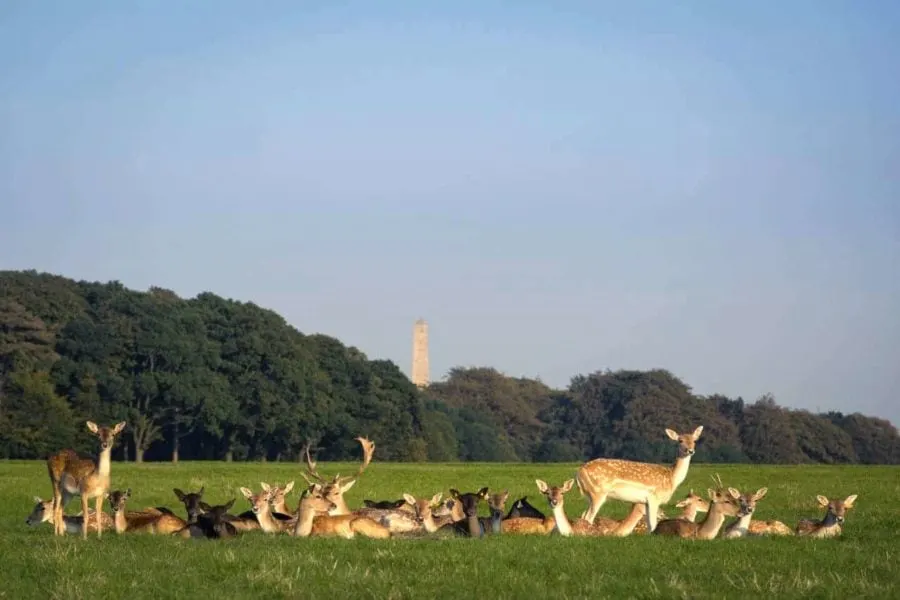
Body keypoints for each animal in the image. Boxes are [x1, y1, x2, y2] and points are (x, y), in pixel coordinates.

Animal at [576, 424, 704, 532]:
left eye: (694, 440)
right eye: (680, 441)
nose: (690, 450)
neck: (671, 478)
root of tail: (579, 472)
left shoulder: (645, 501)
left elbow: (650, 525)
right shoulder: (654, 497)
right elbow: (653, 524)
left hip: (590, 495)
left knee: (584, 515)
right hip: (598, 492)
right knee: (588, 517)